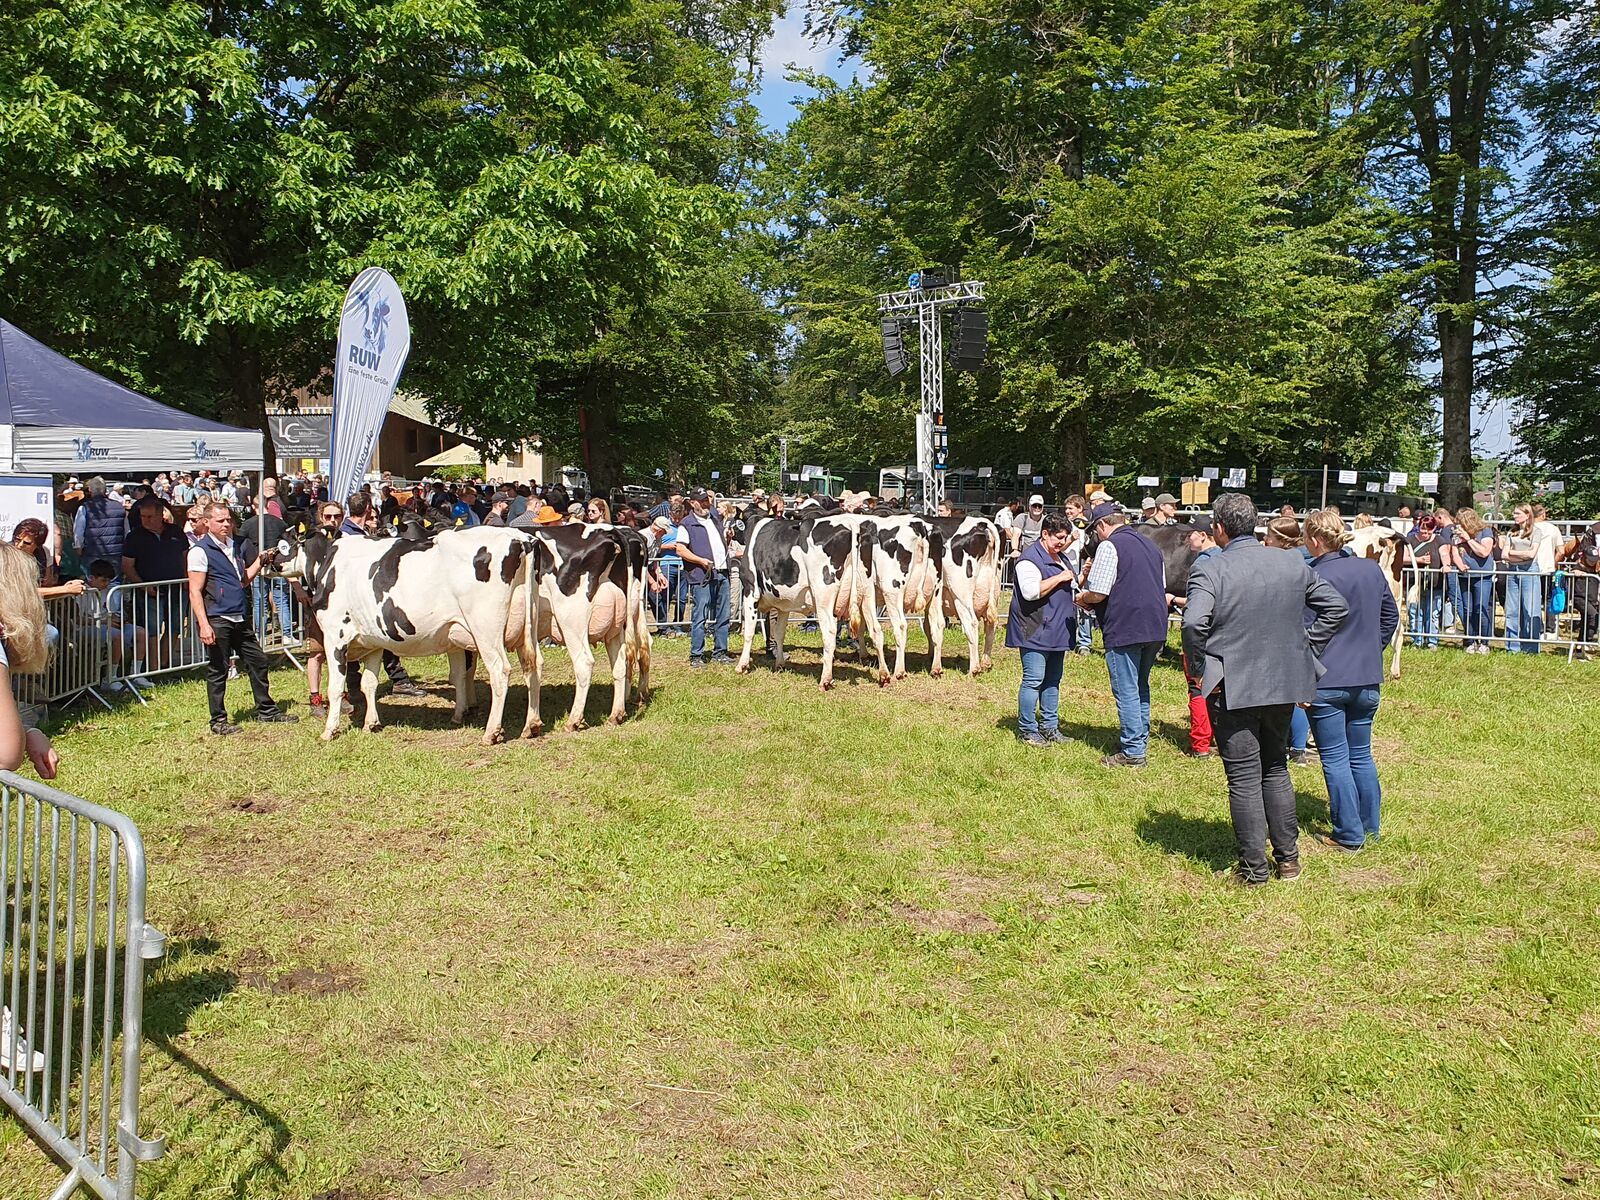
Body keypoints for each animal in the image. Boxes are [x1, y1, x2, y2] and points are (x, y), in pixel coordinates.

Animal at [732, 508, 870, 694]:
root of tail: (849, 524)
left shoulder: (750, 591)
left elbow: (749, 632)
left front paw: (742, 665)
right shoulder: (783, 604)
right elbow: (779, 633)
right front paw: (780, 664)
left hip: (823, 597)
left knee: (830, 632)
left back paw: (825, 680)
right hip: (866, 594)